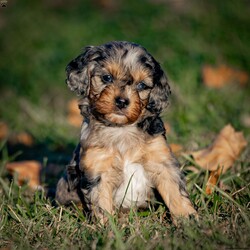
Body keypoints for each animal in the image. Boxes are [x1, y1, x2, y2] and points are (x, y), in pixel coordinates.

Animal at [56, 41, 197, 223]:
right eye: (107, 78)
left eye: (142, 85)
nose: (122, 101)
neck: (122, 129)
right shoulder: (98, 170)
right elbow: (102, 205)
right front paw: (108, 227)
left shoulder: (162, 161)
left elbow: (175, 193)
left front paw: (189, 219)